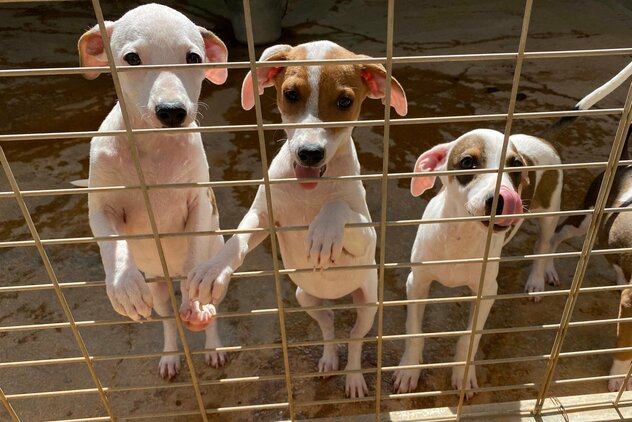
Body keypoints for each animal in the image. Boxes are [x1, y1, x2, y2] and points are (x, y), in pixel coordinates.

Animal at [77, 3, 228, 378]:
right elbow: (113, 244)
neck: (153, 146)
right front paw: (125, 289)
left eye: (193, 58)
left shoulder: (199, 201)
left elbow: (193, 251)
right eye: (132, 58)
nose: (172, 112)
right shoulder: (100, 206)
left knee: (203, 304)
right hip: (158, 289)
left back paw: (209, 334)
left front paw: (194, 302)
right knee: (169, 321)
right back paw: (171, 355)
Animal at [185, 40, 408, 398]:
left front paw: (323, 233)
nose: (310, 154)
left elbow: (338, 209)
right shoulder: (262, 216)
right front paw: (213, 270)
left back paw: (353, 376)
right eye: (291, 94)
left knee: (355, 337)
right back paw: (329, 357)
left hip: (368, 301)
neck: (309, 191)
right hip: (305, 297)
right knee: (328, 322)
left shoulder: (366, 234)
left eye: (345, 102)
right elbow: (238, 240)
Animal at [396, 128, 564, 396]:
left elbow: (469, 339)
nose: (503, 199)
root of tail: (540, 138)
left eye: (516, 165)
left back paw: (537, 279)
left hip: (549, 210)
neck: (461, 235)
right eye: (467, 162)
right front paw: (409, 369)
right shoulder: (417, 283)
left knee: (544, 244)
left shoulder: (486, 292)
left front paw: (463, 375)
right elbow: (414, 332)